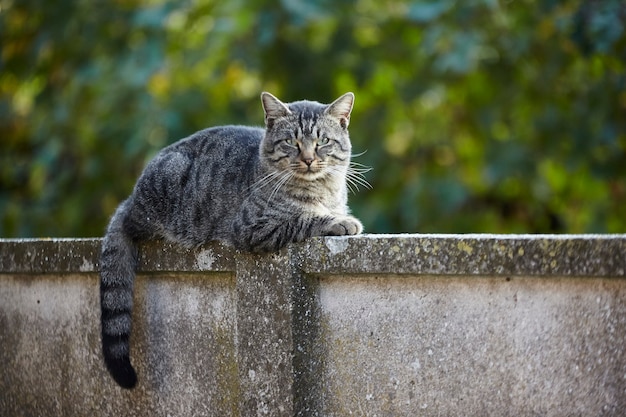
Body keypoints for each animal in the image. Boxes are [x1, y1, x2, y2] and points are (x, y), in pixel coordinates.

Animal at [99, 91, 368, 386]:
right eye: (290, 142)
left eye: (323, 141)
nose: (308, 159)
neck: (321, 190)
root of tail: (130, 198)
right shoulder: (253, 228)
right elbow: (305, 218)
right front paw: (341, 221)